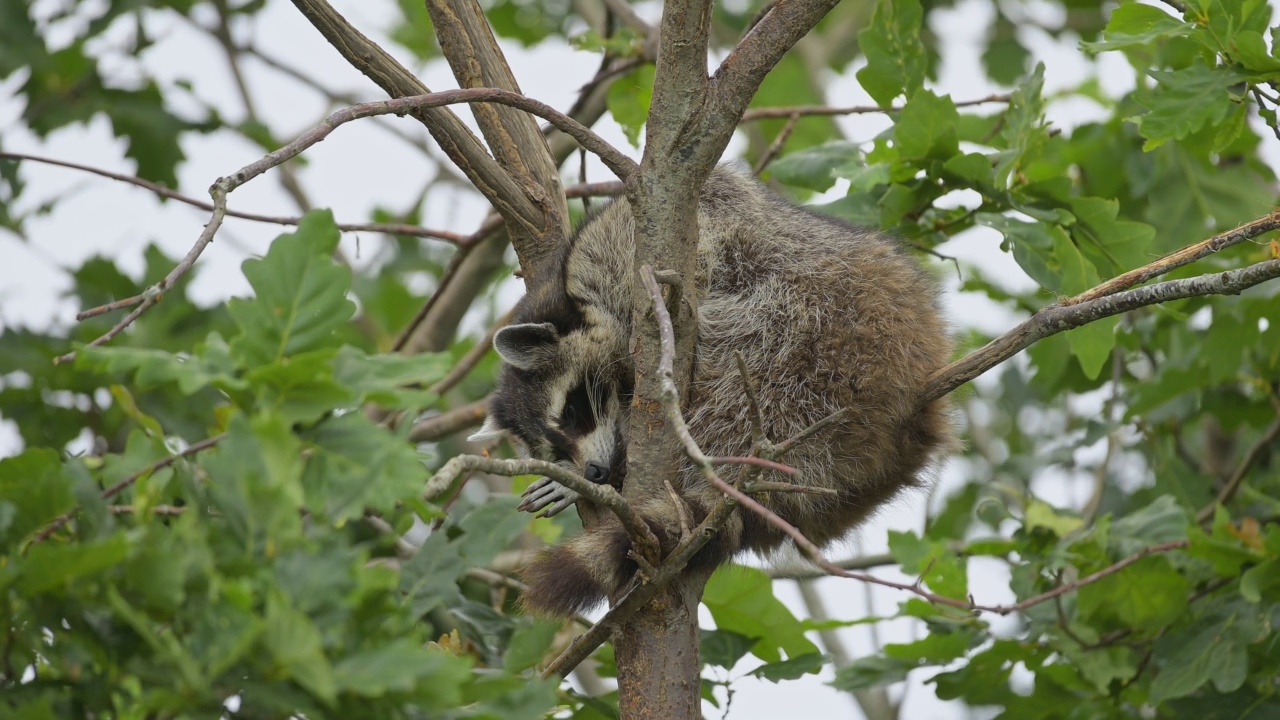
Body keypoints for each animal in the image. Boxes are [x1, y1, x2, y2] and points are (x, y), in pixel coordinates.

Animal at [471, 165, 952, 614]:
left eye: (572, 413)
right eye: (553, 450)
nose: (593, 473)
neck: (569, 293)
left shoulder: (635, 251)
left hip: (822, 343)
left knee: (740, 360)